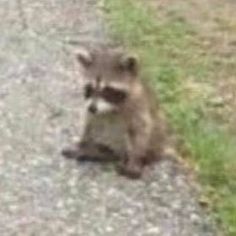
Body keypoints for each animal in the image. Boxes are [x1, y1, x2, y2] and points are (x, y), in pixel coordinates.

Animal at [62, 44, 170, 179]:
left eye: (108, 90)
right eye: (90, 88)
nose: (92, 108)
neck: (111, 107)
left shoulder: (138, 106)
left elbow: (140, 132)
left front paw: (134, 161)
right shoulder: (91, 110)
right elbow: (89, 124)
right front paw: (82, 144)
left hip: (154, 142)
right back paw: (94, 151)